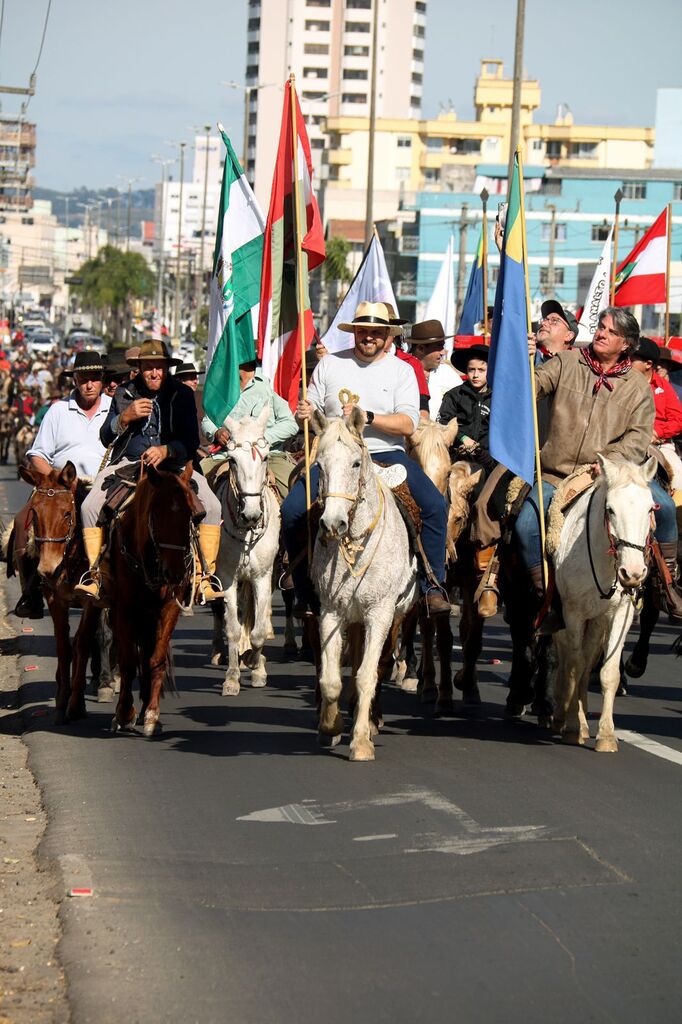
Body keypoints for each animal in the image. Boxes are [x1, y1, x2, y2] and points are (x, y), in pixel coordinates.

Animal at [11, 460, 100, 724]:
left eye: (67, 513)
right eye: (35, 513)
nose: (47, 568)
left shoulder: (91, 601)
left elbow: (82, 644)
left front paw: (76, 704)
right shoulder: (55, 598)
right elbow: (63, 644)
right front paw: (62, 700)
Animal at [108, 462, 193, 737]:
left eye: (194, 514)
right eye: (156, 514)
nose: (175, 573)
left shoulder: (169, 607)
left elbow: (155, 659)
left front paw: (152, 714)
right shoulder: (124, 607)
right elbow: (127, 661)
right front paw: (124, 713)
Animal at [311, 407, 417, 761]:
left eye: (356, 463)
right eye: (319, 465)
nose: (332, 523)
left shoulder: (379, 614)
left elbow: (367, 675)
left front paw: (360, 742)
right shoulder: (330, 611)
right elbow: (332, 679)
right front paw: (330, 726)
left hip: (395, 616)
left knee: (379, 665)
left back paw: (371, 721)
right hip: (353, 618)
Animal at [552, 456, 655, 753]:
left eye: (649, 509)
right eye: (610, 510)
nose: (633, 573)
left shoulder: (621, 614)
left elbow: (607, 672)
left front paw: (606, 735)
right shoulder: (572, 613)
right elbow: (573, 666)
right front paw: (571, 727)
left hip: (597, 621)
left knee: (587, 661)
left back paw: (580, 720)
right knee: (566, 657)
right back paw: (559, 716)